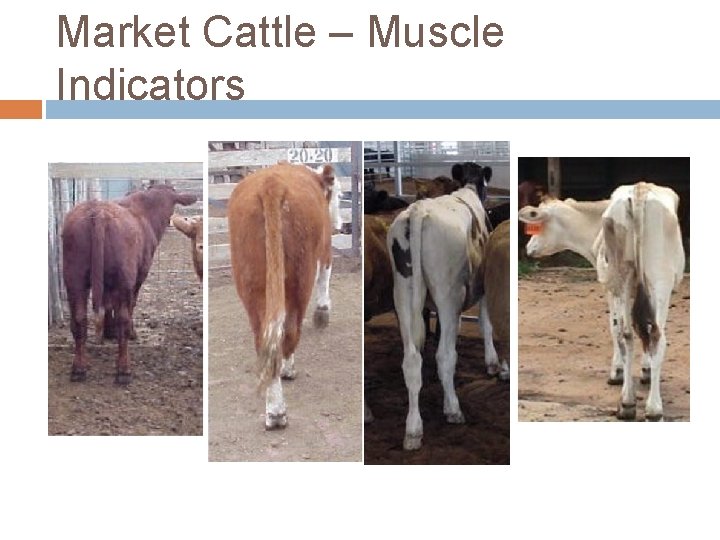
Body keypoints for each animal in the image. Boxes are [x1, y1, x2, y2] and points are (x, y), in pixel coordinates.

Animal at [62, 184, 198, 384]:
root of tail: (98, 211)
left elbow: (108, 305)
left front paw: (108, 332)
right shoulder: (139, 276)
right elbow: (129, 305)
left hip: (74, 276)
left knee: (79, 318)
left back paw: (78, 369)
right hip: (124, 278)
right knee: (123, 318)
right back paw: (123, 370)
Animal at [228, 162, 338, 430]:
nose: (339, 223)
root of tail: (272, 185)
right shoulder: (326, 248)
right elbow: (325, 276)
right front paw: (322, 314)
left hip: (251, 283)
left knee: (264, 341)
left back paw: (273, 410)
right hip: (301, 279)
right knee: (289, 332)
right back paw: (282, 396)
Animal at [387, 163, 493, 450]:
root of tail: (418, 211)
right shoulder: (482, 286)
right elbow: (486, 324)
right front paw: (493, 363)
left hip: (403, 293)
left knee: (412, 360)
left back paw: (413, 429)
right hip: (448, 296)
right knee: (445, 355)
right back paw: (453, 409)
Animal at [518, 182, 685, 421]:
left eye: (538, 226)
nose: (528, 248)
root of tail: (639, 189)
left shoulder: (608, 288)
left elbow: (613, 326)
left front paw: (617, 372)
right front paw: (646, 370)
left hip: (620, 280)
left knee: (626, 332)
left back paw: (627, 402)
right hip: (659, 282)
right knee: (653, 335)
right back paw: (653, 408)